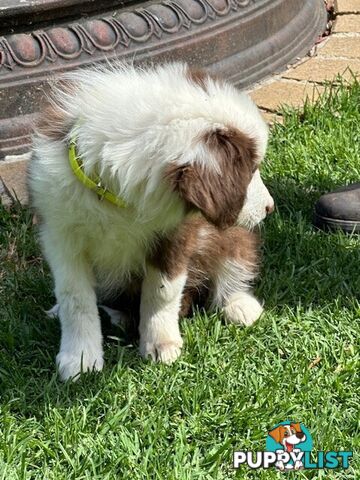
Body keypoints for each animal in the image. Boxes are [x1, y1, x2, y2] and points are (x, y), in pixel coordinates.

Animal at [29, 62, 272, 380]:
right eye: (251, 170)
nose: (270, 207)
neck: (119, 199)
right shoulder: (60, 233)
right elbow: (74, 296)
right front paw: (80, 358)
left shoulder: (177, 235)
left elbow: (163, 290)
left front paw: (161, 343)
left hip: (232, 235)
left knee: (233, 263)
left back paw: (239, 304)